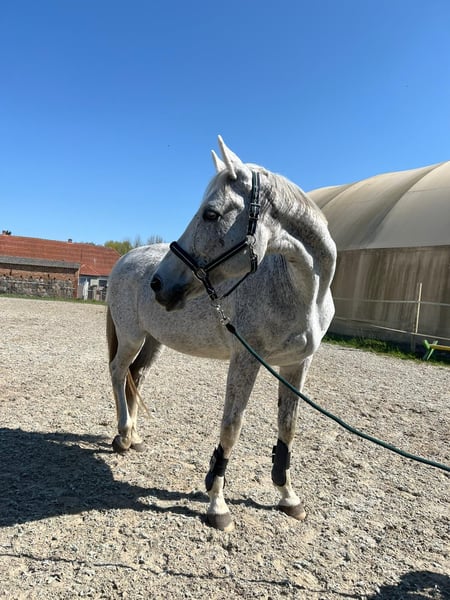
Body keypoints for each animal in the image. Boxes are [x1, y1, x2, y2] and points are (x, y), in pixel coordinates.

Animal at [106, 136, 336, 531]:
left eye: (211, 214)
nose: (159, 284)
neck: (299, 292)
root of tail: (125, 259)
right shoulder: (245, 360)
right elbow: (231, 426)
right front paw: (217, 505)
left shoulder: (296, 365)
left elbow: (287, 428)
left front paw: (288, 497)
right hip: (132, 337)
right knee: (120, 372)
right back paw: (122, 435)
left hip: (153, 342)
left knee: (137, 375)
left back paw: (133, 437)